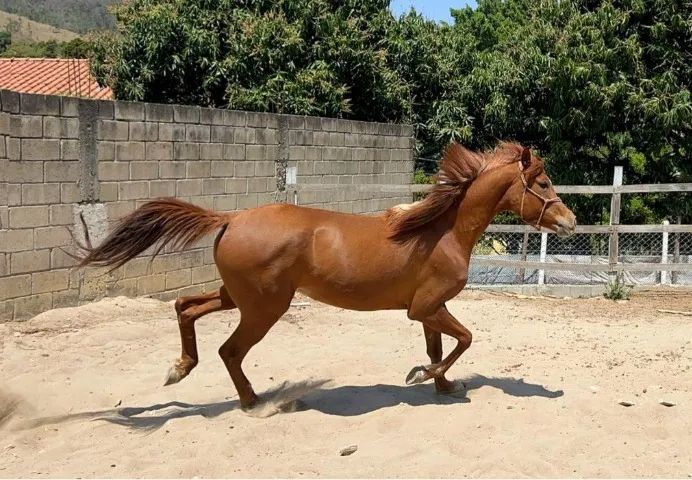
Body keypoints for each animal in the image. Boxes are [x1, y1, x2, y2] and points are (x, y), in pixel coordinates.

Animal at [76, 141, 576, 410]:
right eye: (544, 183)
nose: (570, 222)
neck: (443, 232)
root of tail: (231, 218)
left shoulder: (428, 308)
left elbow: (442, 345)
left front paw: (444, 386)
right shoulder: (425, 307)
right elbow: (464, 340)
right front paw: (421, 375)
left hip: (237, 297)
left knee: (185, 307)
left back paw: (179, 369)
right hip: (264, 308)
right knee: (229, 350)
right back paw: (254, 403)